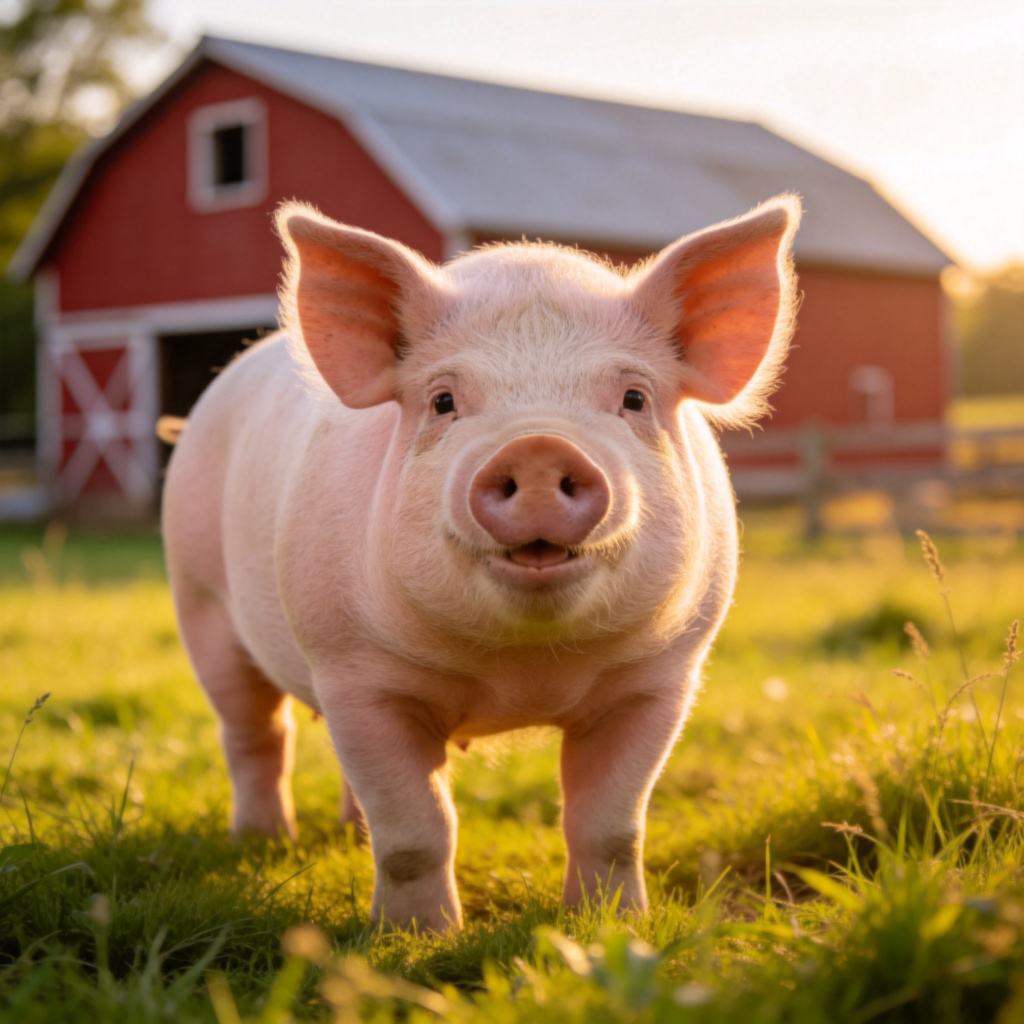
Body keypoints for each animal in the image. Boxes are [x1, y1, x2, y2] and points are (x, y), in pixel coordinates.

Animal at [161, 194, 801, 933]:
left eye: (634, 398)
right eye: (444, 401)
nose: (539, 447)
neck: (522, 674)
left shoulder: (661, 677)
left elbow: (612, 825)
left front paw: (612, 924)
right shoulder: (354, 672)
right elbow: (416, 831)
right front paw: (417, 938)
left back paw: (343, 835)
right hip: (200, 600)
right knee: (255, 732)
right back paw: (263, 843)